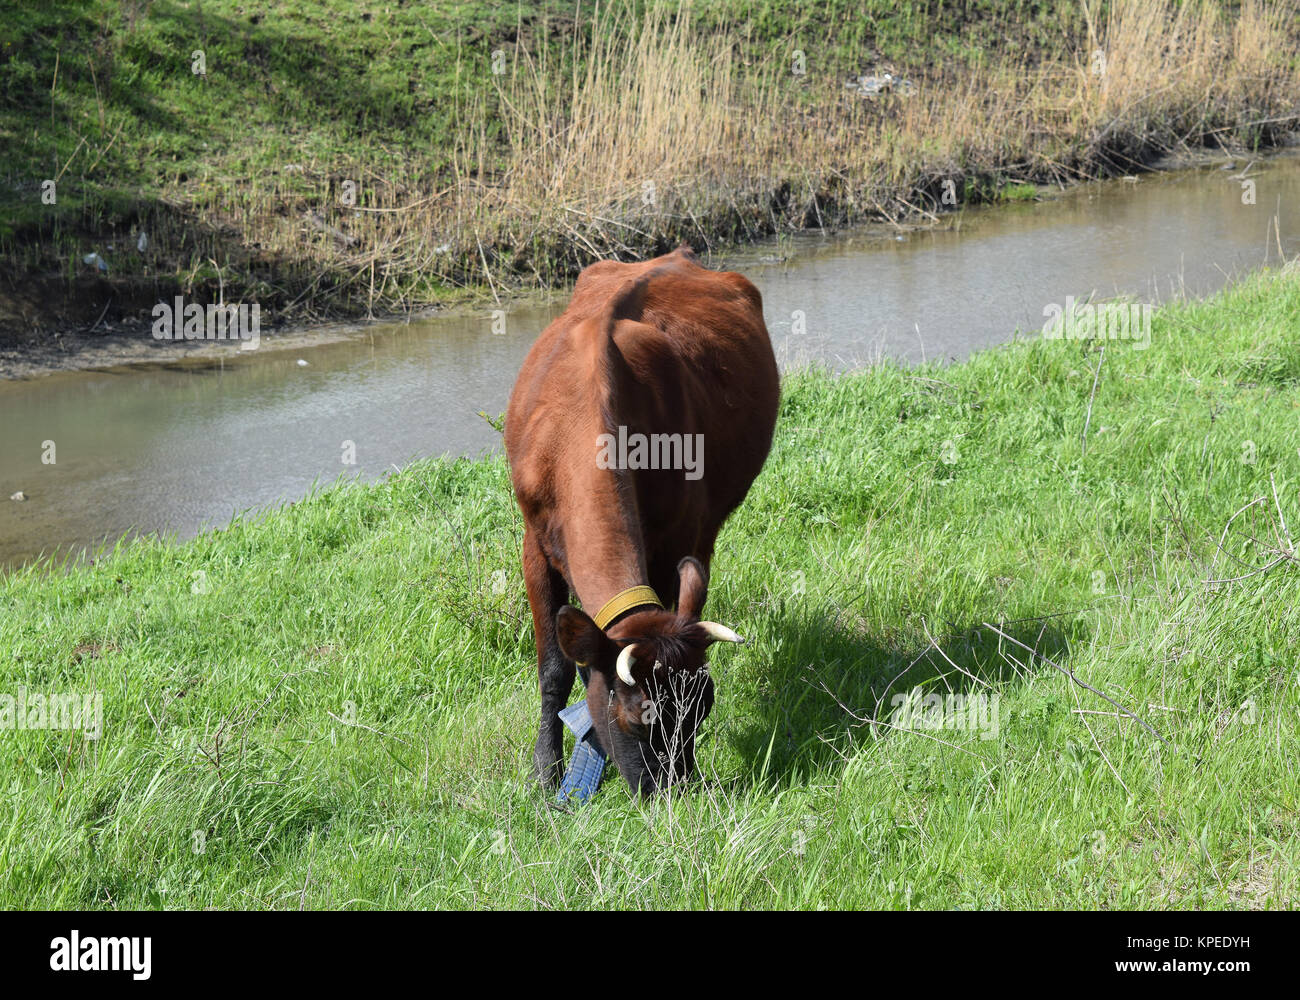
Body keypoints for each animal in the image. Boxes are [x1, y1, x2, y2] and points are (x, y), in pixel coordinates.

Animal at [504, 246, 779, 796]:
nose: (674, 793)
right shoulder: (534, 543)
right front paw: (546, 773)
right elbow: (554, 670)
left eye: (703, 709)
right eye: (638, 718)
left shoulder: (674, 538)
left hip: (705, 524)